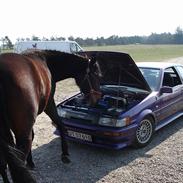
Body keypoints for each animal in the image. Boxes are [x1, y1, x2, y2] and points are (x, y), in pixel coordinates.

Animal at [0, 49, 101, 182]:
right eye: (96, 75)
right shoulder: (49, 105)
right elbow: (61, 125)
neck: (46, 62)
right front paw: (65, 154)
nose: (98, 99)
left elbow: (33, 135)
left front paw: (31, 162)